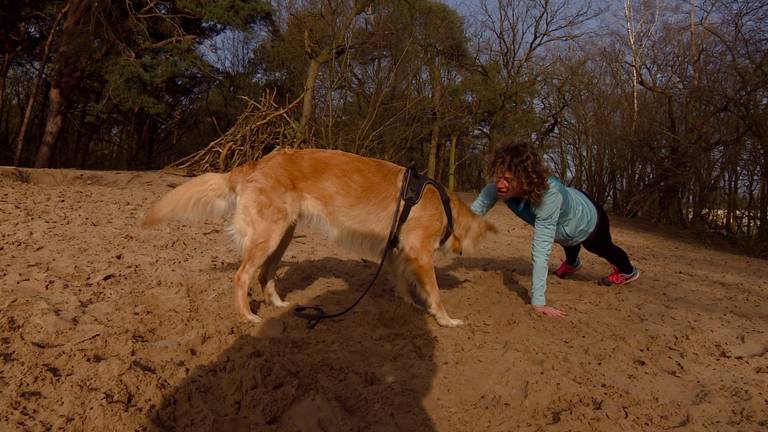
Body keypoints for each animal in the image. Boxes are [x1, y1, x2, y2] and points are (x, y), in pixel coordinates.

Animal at [144, 149, 496, 328]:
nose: (461, 255)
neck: (446, 205)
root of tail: (257, 162)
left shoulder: (399, 252)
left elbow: (403, 282)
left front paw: (408, 304)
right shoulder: (419, 252)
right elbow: (434, 292)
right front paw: (445, 318)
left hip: (282, 235)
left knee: (265, 274)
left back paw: (278, 304)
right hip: (269, 235)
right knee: (243, 276)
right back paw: (247, 315)